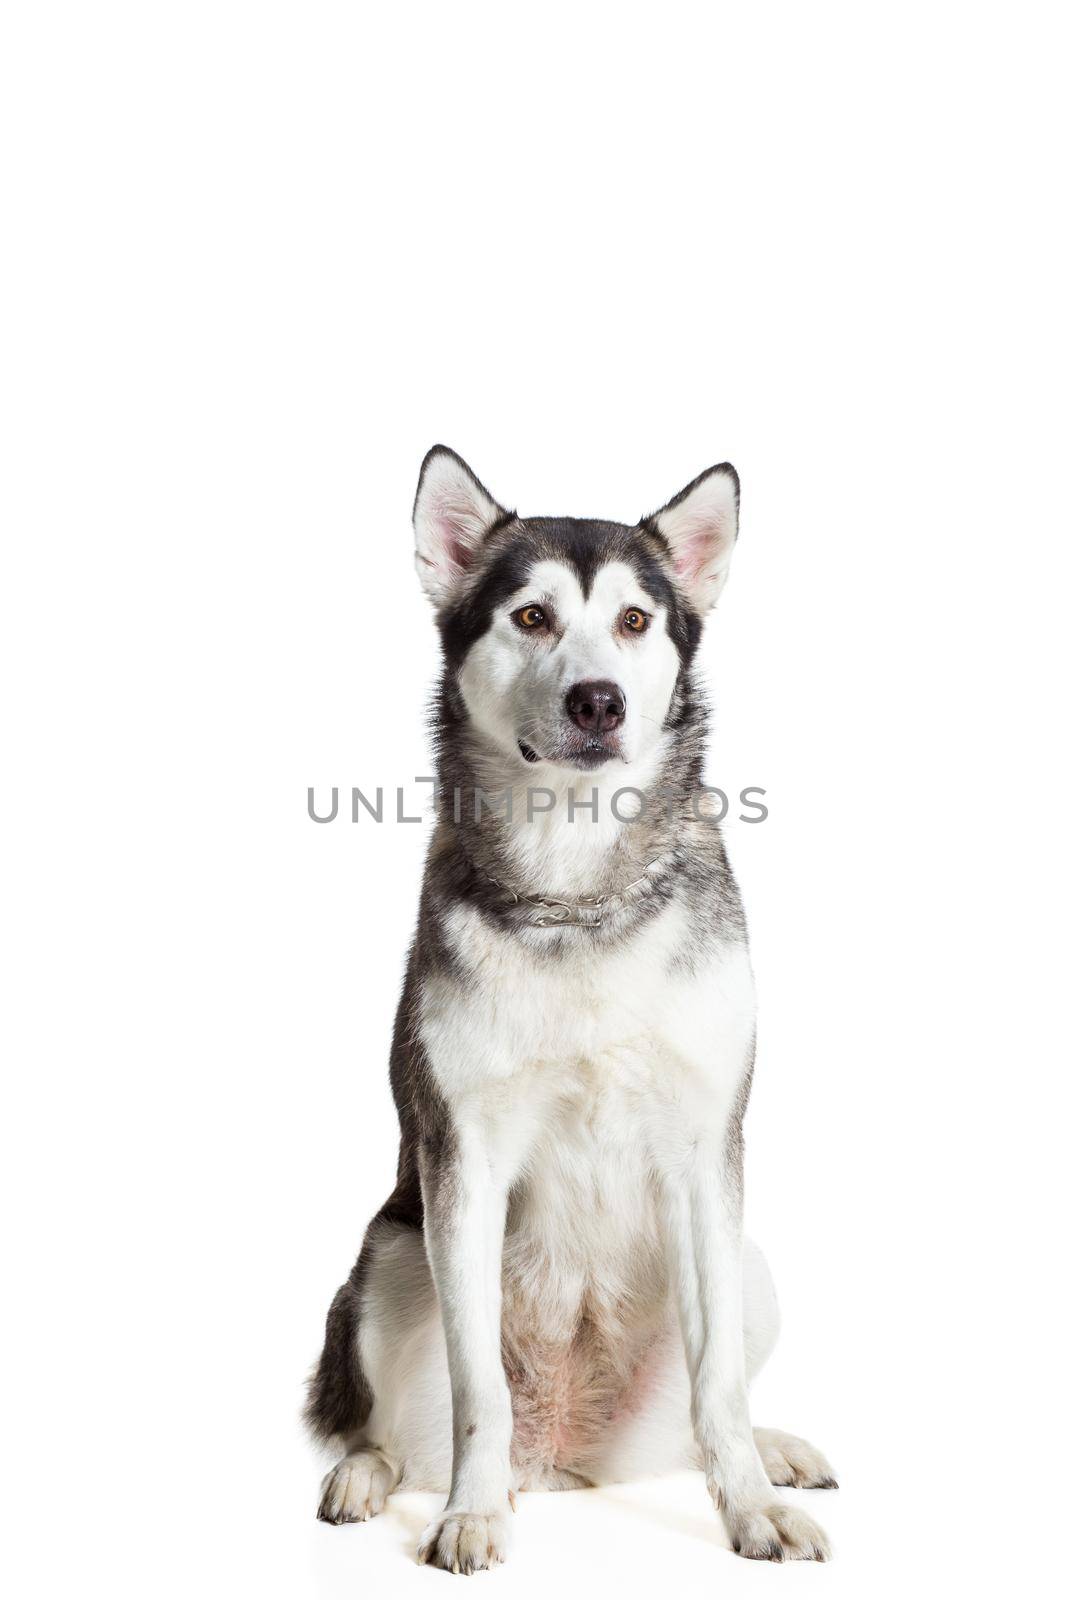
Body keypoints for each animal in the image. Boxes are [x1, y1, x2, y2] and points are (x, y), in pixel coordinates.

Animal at [303, 444, 838, 1568]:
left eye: (634, 619)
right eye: (532, 617)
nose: (598, 701)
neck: (577, 889)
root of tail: (564, 1457)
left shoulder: (706, 1155)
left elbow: (718, 1382)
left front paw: (749, 1505)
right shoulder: (460, 1160)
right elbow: (478, 1392)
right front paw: (469, 1511)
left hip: (751, 1263)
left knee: (701, 1413)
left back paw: (771, 1451)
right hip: (384, 1255)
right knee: (387, 1425)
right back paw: (367, 1474)